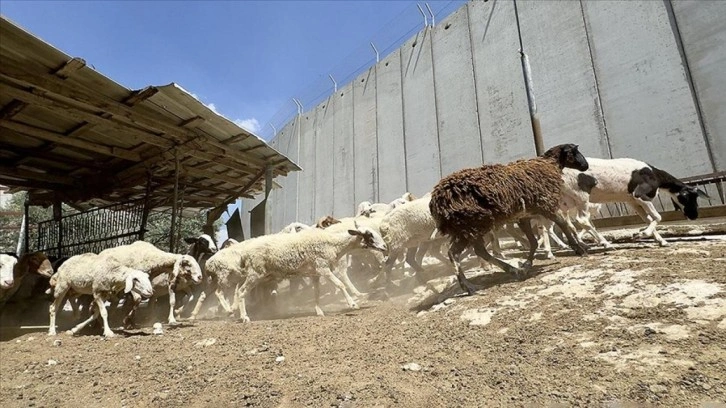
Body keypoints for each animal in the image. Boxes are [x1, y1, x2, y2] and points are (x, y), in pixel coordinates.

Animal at [432, 143, 592, 294]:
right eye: (574, 152)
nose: (586, 166)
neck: (549, 164)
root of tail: (437, 202)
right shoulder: (546, 205)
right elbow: (562, 223)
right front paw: (579, 249)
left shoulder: (524, 216)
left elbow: (533, 242)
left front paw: (527, 265)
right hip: (472, 224)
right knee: (457, 253)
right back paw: (469, 286)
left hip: (466, 228)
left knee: (474, 251)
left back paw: (512, 271)